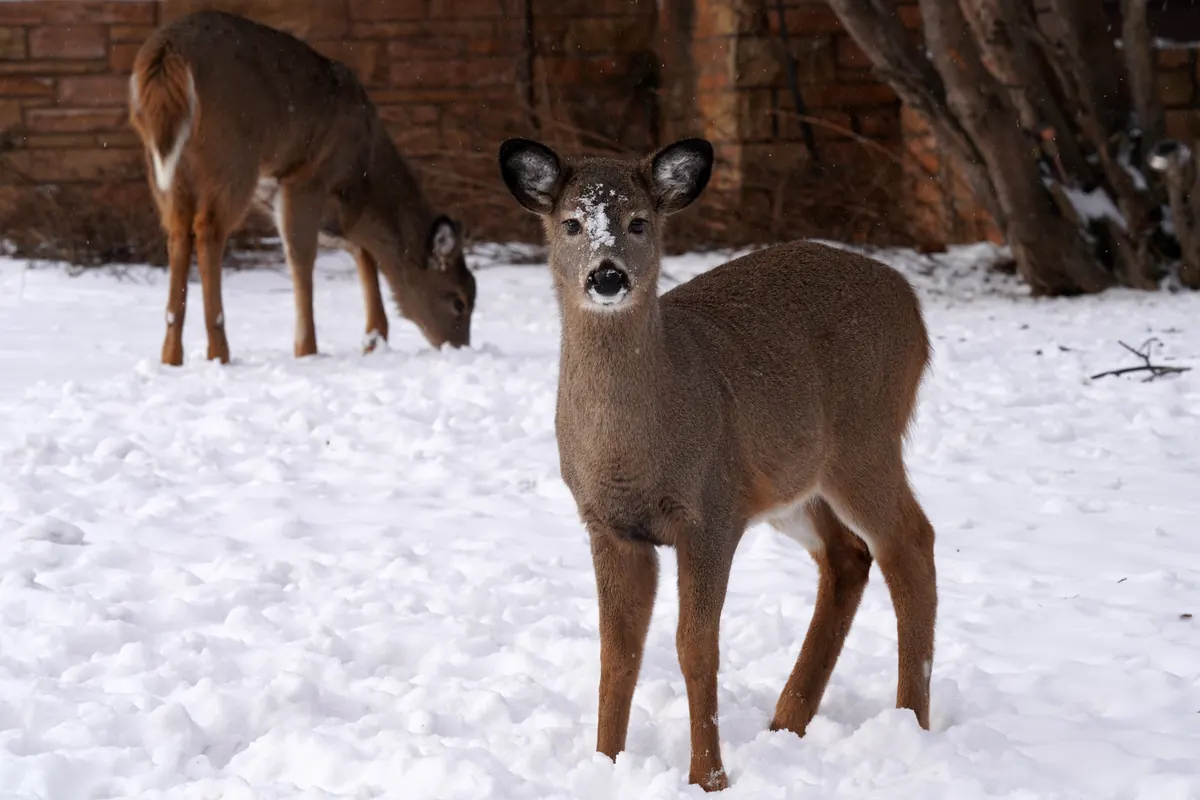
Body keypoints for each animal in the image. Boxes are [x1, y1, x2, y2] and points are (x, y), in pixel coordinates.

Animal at [128, 10, 476, 367]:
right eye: (459, 301)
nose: (459, 347)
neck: (361, 177)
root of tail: (166, 55)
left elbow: (360, 251)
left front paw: (373, 340)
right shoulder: (306, 178)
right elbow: (303, 255)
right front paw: (307, 349)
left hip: (166, 164)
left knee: (177, 231)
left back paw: (171, 355)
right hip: (233, 153)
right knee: (209, 229)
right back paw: (219, 352)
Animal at [499, 137, 938, 791]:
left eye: (640, 221)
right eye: (572, 223)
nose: (608, 275)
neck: (631, 451)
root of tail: (911, 300)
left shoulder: (711, 511)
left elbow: (695, 647)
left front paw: (708, 777)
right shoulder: (608, 525)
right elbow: (617, 650)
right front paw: (606, 765)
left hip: (866, 438)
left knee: (910, 542)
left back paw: (911, 723)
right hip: (793, 482)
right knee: (848, 557)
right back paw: (787, 722)